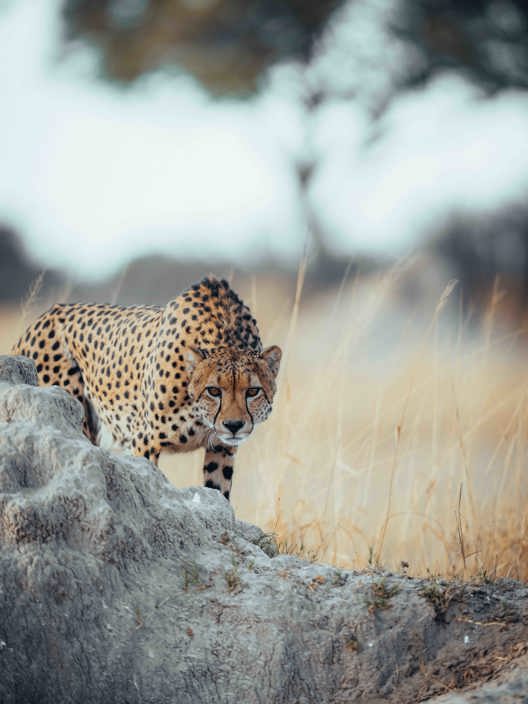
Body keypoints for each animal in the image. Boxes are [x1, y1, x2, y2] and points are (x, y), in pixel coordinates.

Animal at [12, 277, 282, 501]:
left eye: (253, 392)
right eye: (214, 391)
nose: (234, 425)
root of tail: (43, 316)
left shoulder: (222, 448)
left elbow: (219, 492)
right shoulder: (144, 440)